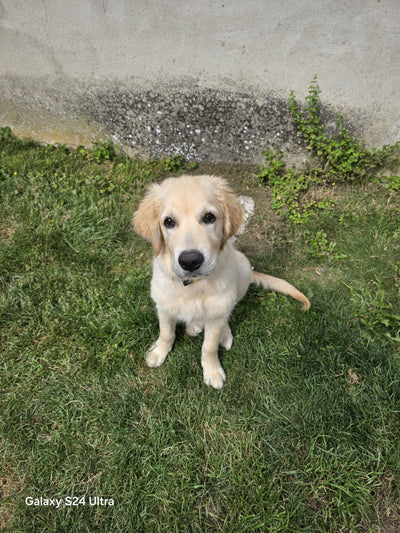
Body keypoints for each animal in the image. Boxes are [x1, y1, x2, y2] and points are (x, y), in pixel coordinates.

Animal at [134, 177, 310, 388]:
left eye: (209, 217)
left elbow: (209, 346)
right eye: (168, 222)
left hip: (243, 269)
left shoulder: (216, 315)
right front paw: (158, 352)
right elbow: (166, 333)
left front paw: (212, 371)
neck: (192, 285)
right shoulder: (164, 305)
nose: (190, 261)